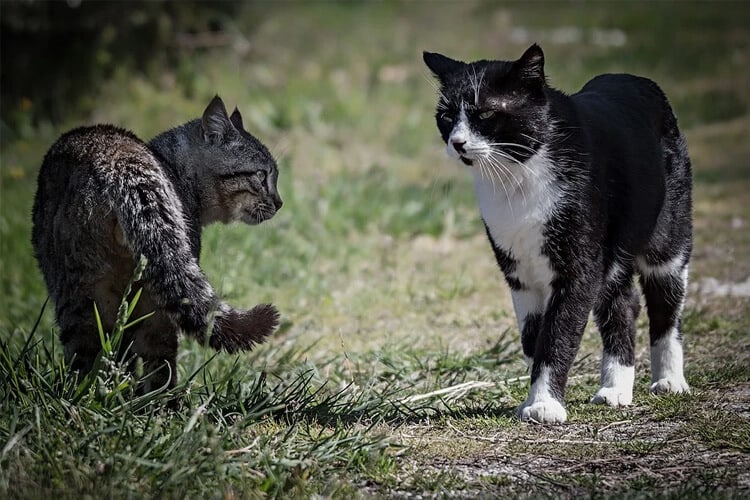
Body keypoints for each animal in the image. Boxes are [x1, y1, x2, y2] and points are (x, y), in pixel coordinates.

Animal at [32, 94, 284, 390]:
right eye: (261, 175)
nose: (280, 202)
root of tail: (117, 159)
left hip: (84, 295)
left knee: (93, 358)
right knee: (158, 364)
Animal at [426, 45, 696, 424]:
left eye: (487, 112)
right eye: (447, 115)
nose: (457, 142)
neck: (518, 176)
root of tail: (635, 78)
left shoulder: (577, 268)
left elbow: (557, 335)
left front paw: (544, 405)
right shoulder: (520, 274)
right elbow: (532, 337)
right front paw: (533, 397)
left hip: (668, 236)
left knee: (666, 303)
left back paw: (670, 381)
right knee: (623, 304)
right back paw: (615, 388)